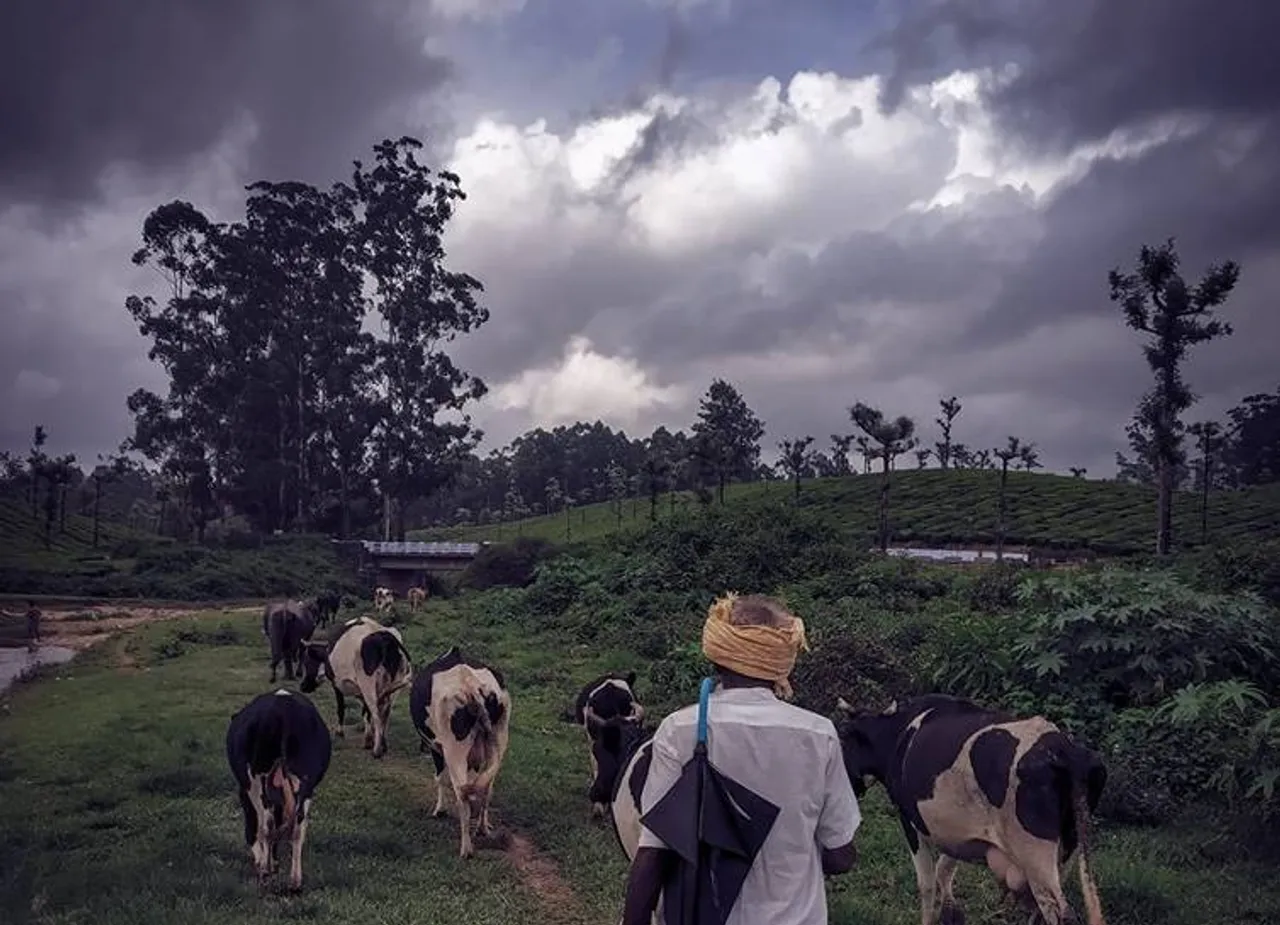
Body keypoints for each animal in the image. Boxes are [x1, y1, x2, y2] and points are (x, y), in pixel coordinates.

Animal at [226, 690, 335, 895]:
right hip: (305, 783)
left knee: (266, 826)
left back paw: (265, 872)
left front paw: (264, 864)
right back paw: (295, 882)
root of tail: (282, 708)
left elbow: (255, 829)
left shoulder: (246, 791)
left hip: (257, 780)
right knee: (297, 829)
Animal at [295, 614, 407, 757]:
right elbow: (365, 713)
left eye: (307, 661)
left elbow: (341, 708)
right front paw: (370, 737)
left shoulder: (337, 683)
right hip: (393, 690)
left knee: (376, 713)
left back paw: (376, 749)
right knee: (385, 713)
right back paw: (383, 743)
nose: (302, 686)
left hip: (369, 686)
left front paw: (340, 732)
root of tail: (384, 637)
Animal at [409, 647, 509, 859]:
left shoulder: (436, 747)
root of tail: (470, 684)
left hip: (454, 750)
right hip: (499, 739)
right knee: (486, 787)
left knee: (462, 794)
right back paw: (482, 829)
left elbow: (440, 777)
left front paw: (439, 810)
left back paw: (466, 849)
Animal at [834, 695, 1105, 925]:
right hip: (1067, 850)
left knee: (1058, 912)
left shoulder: (909, 821)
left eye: (842, 738)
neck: (898, 736)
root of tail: (1066, 750)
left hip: (1034, 854)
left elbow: (927, 883)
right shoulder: (958, 833)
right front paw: (951, 914)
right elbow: (944, 870)